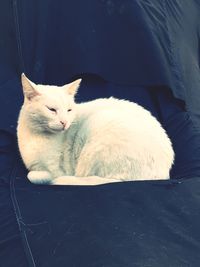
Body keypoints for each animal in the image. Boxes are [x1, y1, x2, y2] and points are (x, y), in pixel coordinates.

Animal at [16, 73, 173, 186]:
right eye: (51, 110)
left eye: (69, 110)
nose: (64, 122)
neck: (37, 136)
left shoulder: (56, 170)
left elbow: (33, 175)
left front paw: (44, 177)